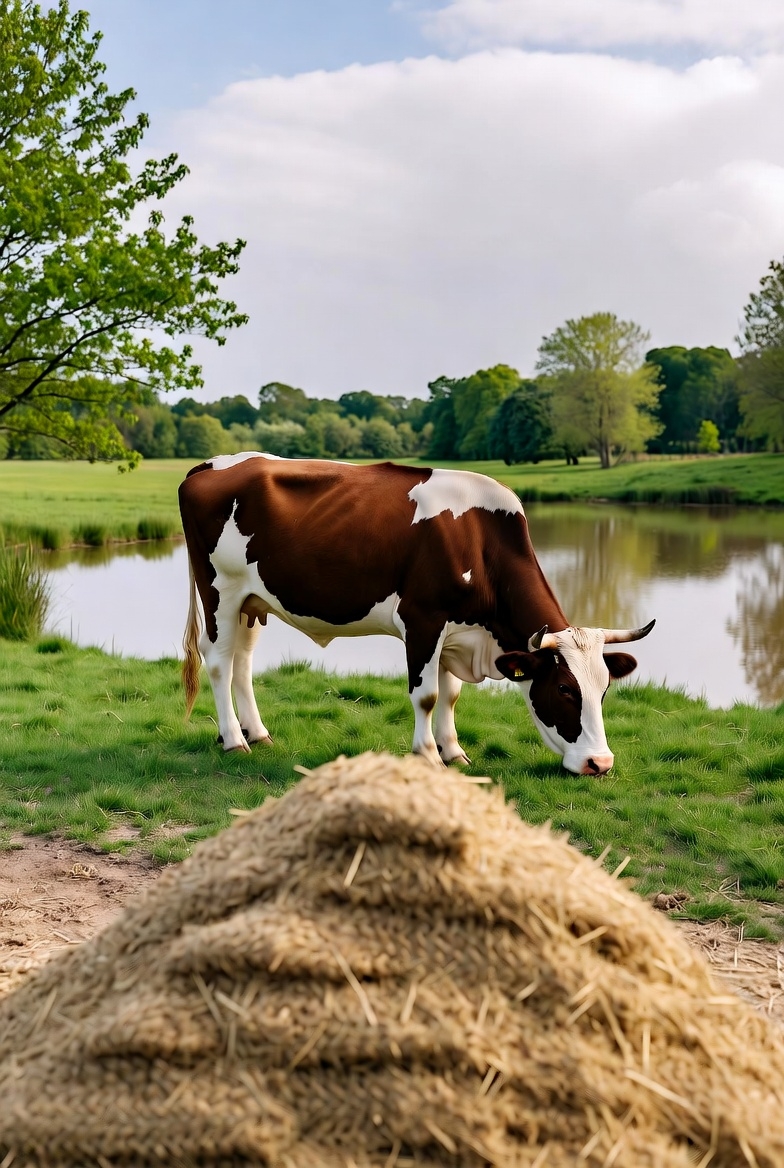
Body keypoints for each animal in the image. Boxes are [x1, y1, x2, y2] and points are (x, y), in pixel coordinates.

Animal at [179, 452, 654, 774]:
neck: (479, 540)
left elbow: (451, 694)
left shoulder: (454, 631)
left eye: (604, 690)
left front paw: (454, 751)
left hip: (252, 600)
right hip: (221, 590)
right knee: (219, 661)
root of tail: (212, 464)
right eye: (564, 689)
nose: (599, 763)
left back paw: (257, 734)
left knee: (243, 661)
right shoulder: (423, 620)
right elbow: (426, 695)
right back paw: (234, 740)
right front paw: (427, 755)